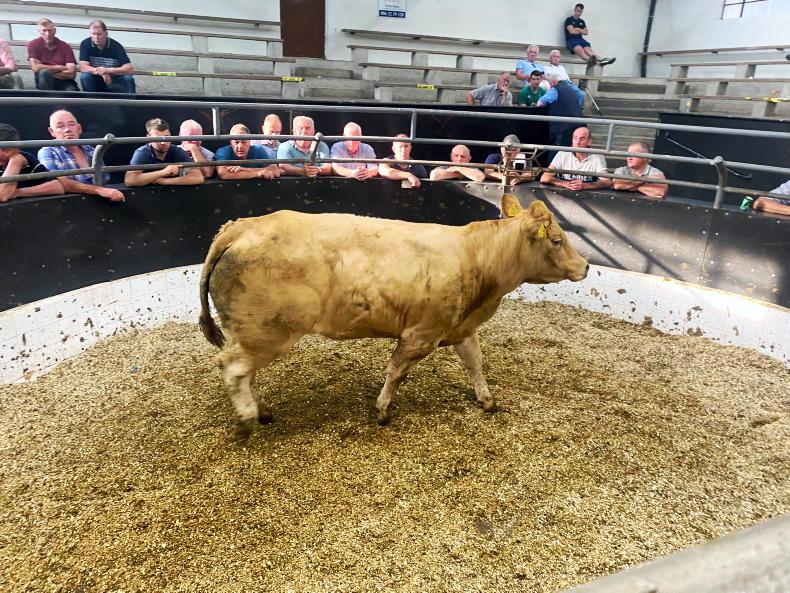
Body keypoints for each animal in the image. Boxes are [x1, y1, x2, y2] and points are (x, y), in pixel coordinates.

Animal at [199, 194, 588, 438]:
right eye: (556, 240)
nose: (585, 266)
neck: (476, 256)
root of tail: (241, 227)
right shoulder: (422, 333)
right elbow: (396, 371)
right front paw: (383, 410)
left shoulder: (462, 327)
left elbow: (475, 364)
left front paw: (487, 401)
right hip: (267, 332)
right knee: (232, 367)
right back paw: (247, 419)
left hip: (253, 333)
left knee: (245, 373)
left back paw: (261, 410)